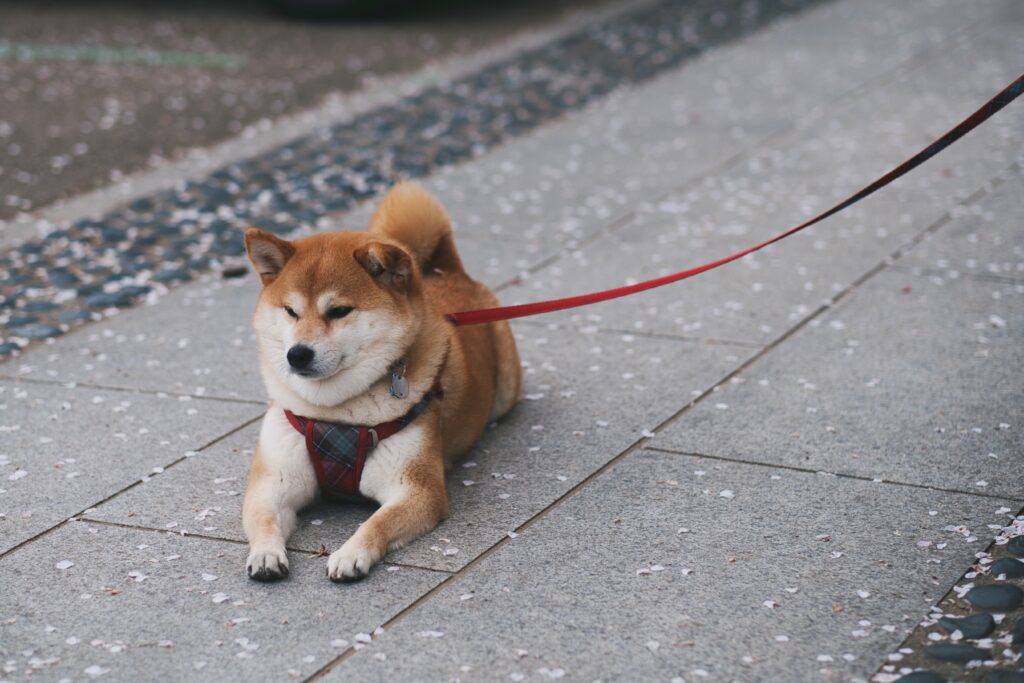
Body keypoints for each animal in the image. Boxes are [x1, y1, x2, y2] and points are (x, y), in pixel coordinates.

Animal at [243, 184, 524, 585]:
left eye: (339, 311)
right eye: (290, 311)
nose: (297, 354)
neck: (335, 414)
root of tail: (447, 271)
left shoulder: (416, 488)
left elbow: (377, 522)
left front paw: (350, 554)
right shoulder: (274, 482)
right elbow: (263, 518)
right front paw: (266, 553)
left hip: (506, 390)